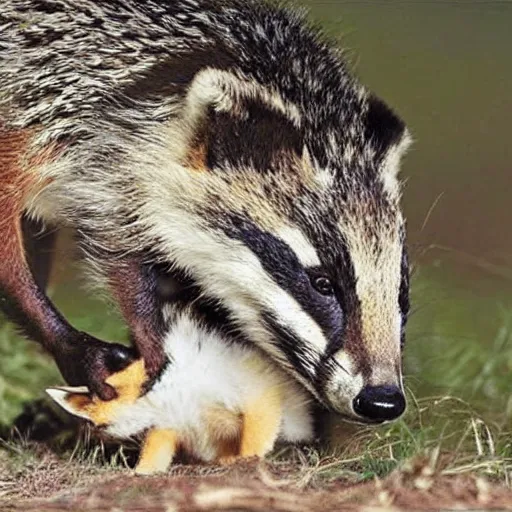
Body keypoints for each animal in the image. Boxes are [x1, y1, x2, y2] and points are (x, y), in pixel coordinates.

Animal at [46, 304, 314, 476]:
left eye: (102, 424)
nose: (96, 432)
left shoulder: (257, 391)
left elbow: (255, 437)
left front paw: (246, 462)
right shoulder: (170, 423)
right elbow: (156, 450)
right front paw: (142, 472)